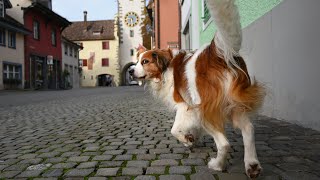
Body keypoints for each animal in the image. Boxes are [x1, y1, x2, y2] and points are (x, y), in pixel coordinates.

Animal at [132, 0, 264, 178]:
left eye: (144, 62)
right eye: (137, 61)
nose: (130, 71)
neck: (167, 68)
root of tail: (217, 54)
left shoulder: (184, 105)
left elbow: (174, 129)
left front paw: (187, 139)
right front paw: (193, 137)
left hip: (205, 109)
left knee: (224, 143)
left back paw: (217, 165)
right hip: (234, 106)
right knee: (249, 129)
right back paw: (252, 165)